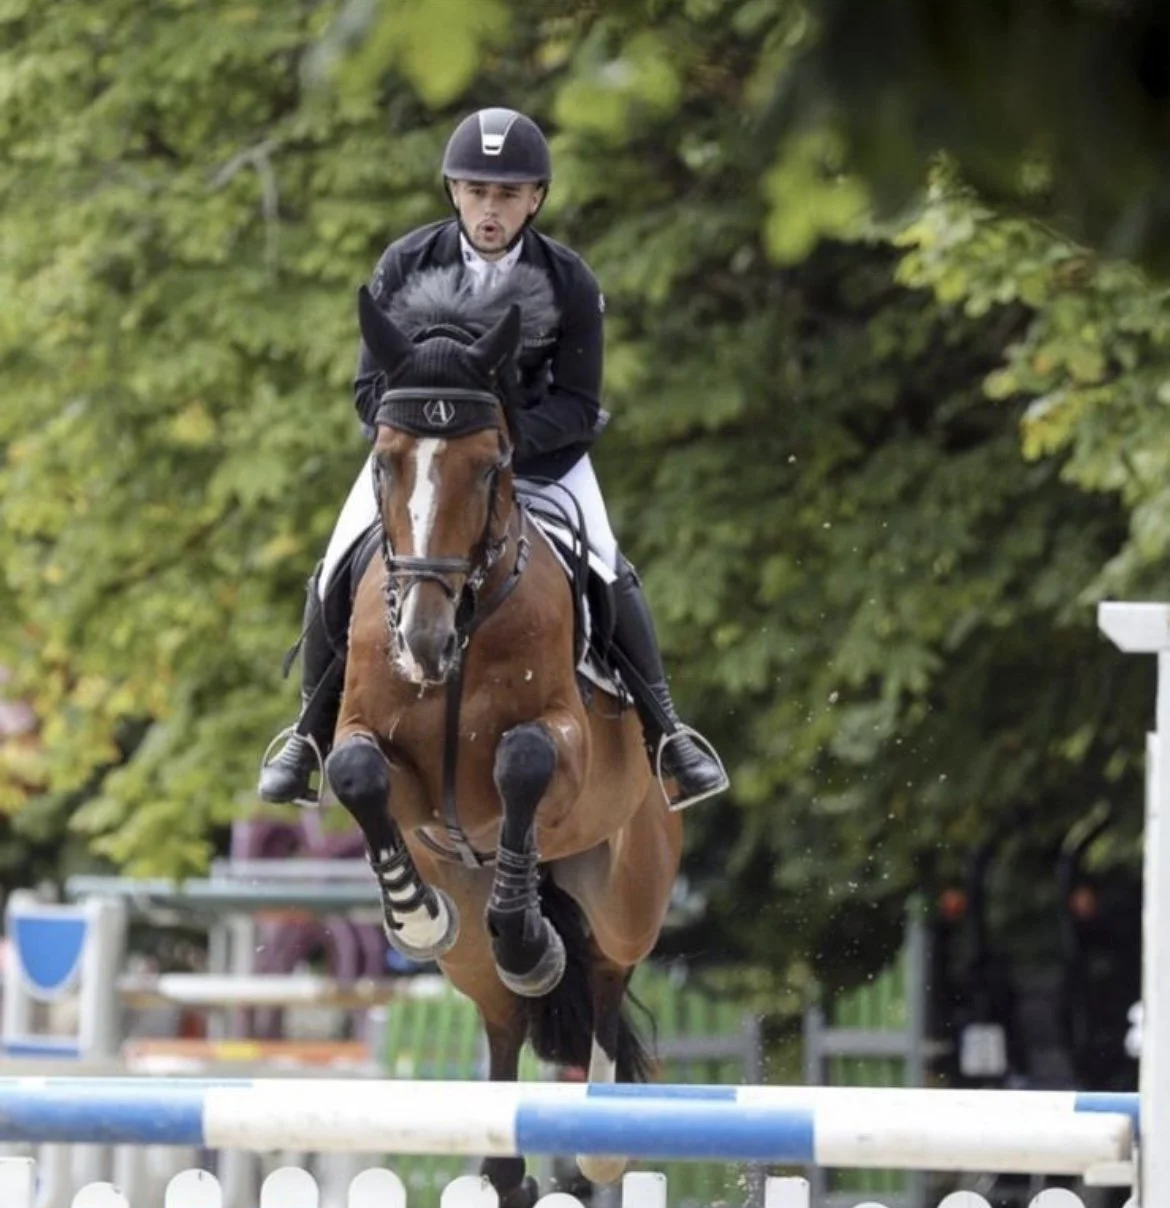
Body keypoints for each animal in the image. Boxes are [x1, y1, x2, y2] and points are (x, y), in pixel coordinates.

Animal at [322, 265, 683, 1207]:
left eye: (489, 467)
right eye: (386, 460)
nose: (421, 640)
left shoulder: (563, 744)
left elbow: (523, 762)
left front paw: (529, 940)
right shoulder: (378, 748)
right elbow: (356, 773)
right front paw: (413, 915)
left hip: (627, 884)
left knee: (604, 973)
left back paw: (597, 1134)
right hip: (471, 938)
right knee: (501, 1015)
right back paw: (502, 1164)